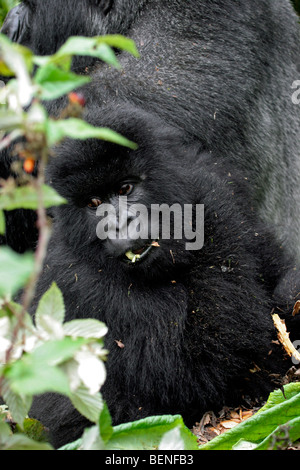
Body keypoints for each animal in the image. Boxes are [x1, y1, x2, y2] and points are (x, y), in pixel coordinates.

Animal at [27, 103, 298, 448]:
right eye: (94, 204)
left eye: (125, 189)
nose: (120, 224)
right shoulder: (75, 279)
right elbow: (193, 366)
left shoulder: (214, 181)